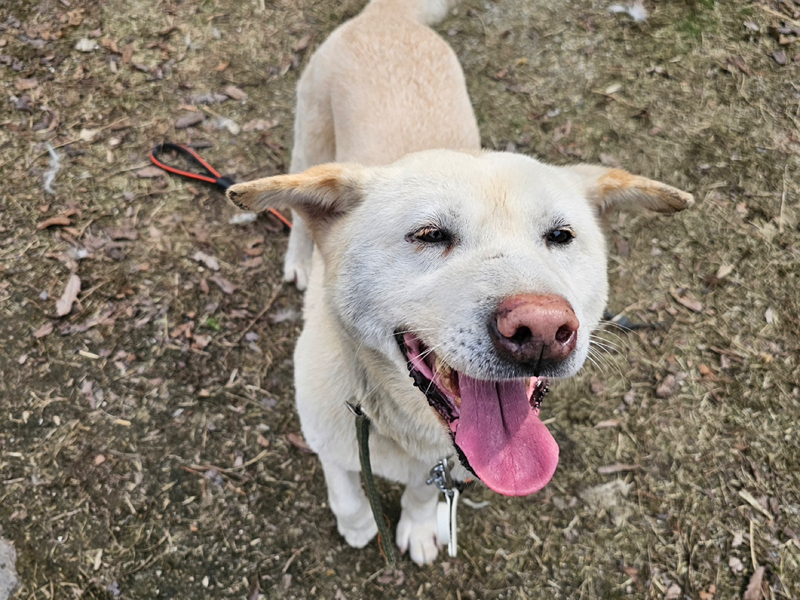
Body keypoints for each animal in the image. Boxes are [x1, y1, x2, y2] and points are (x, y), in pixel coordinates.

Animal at [227, 0, 692, 564]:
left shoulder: (443, 461)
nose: (541, 330)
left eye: (561, 235)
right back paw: (299, 259)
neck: (401, 420)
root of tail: (386, 16)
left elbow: (422, 490)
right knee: (296, 211)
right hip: (310, 138)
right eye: (430, 235)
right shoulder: (328, 436)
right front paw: (358, 524)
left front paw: (420, 525)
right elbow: (343, 485)